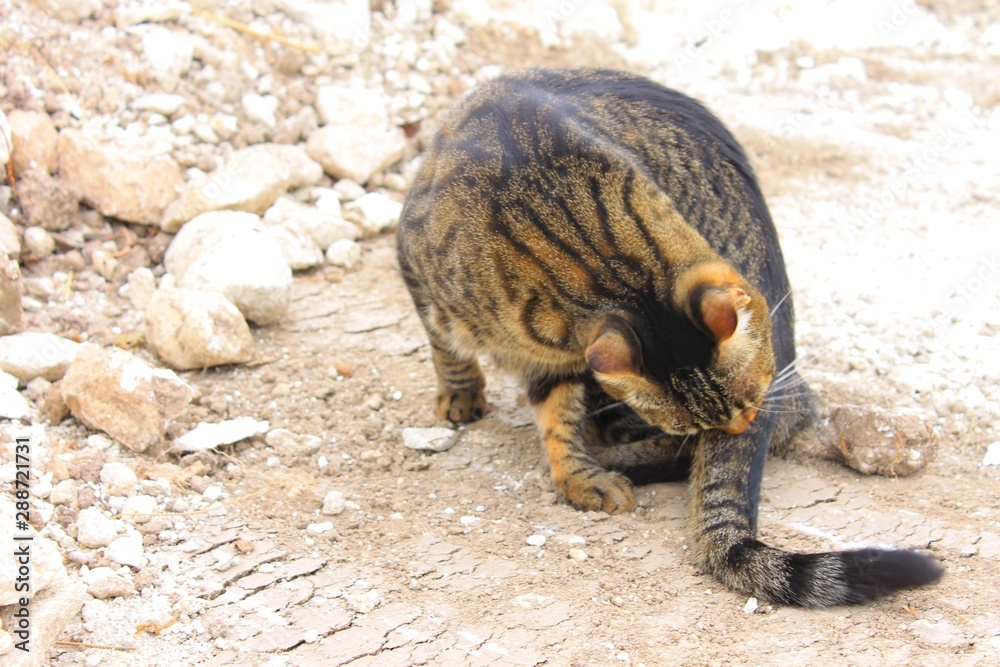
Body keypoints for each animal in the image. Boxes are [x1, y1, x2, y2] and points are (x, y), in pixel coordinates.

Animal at [394, 69, 940, 612]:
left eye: (748, 403)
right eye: (685, 422)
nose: (741, 427)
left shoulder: (561, 362)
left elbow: (559, 420)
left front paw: (581, 476)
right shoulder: (417, 269)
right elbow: (449, 350)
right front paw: (462, 393)